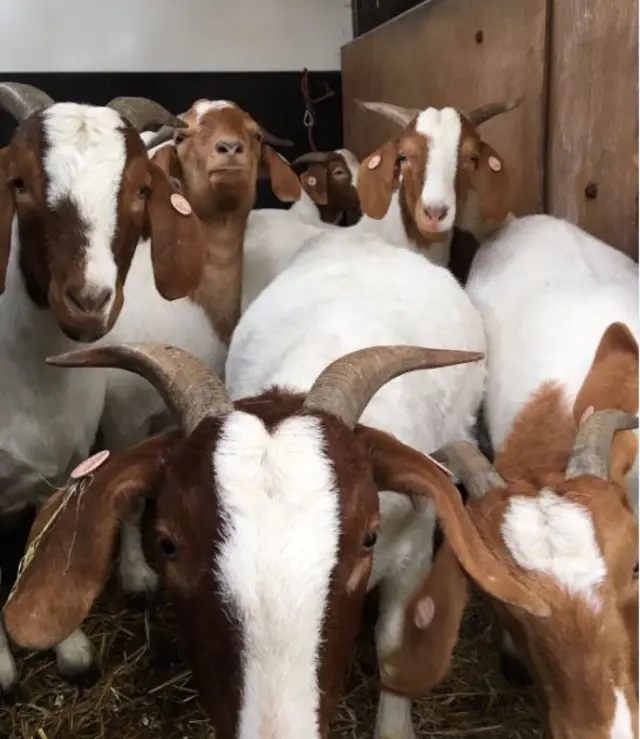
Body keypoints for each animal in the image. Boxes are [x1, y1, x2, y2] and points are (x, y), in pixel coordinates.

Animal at [0, 84, 205, 696]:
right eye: (19, 182)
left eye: (140, 188)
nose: (89, 300)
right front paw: (3, 670)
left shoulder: (66, 467)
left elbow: (49, 543)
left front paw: (71, 650)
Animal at [96, 97, 304, 596]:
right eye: (184, 135)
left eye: (256, 133)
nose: (228, 150)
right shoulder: (122, 416)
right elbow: (125, 493)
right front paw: (136, 573)